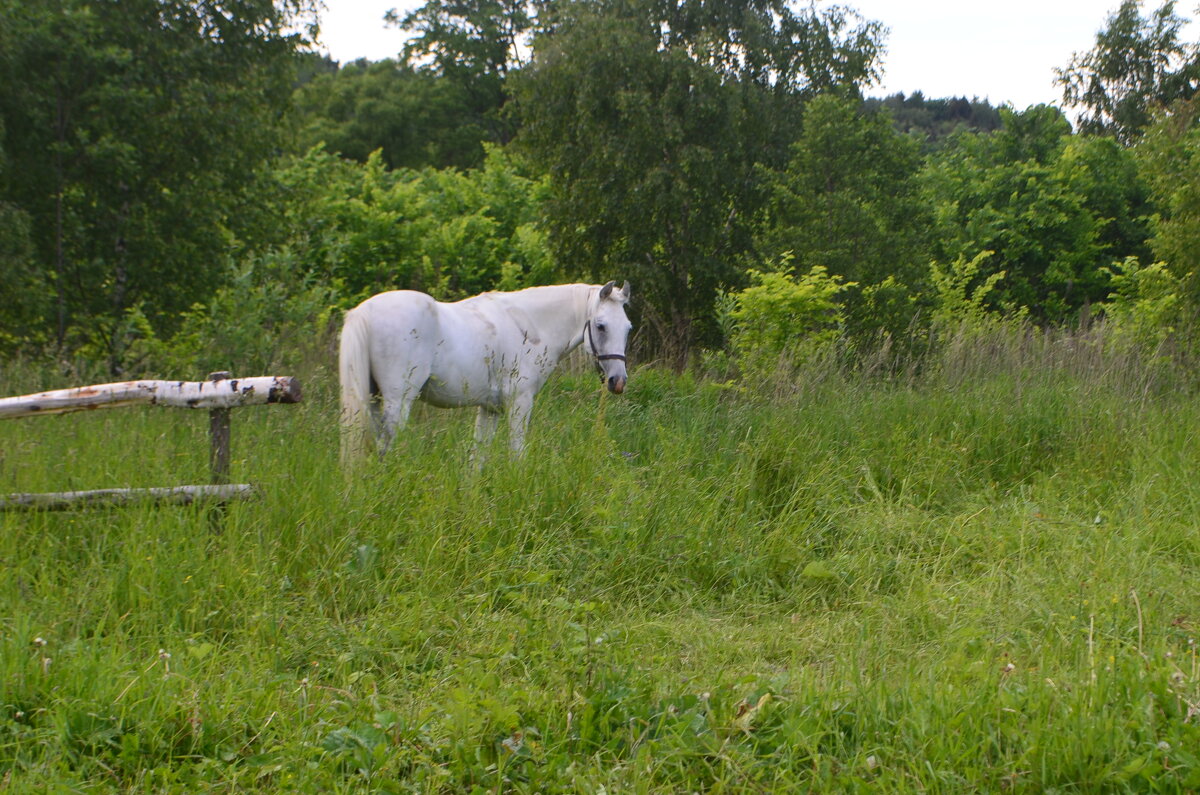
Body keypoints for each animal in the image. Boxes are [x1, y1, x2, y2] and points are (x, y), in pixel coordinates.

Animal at [338, 283, 633, 463]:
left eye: (628, 327)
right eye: (601, 325)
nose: (617, 381)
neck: (528, 325)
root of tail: (364, 311)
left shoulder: (490, 409)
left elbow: (477, 459)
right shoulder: (519, 403)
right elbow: (516, 452)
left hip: (373, 401)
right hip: (397, 403)